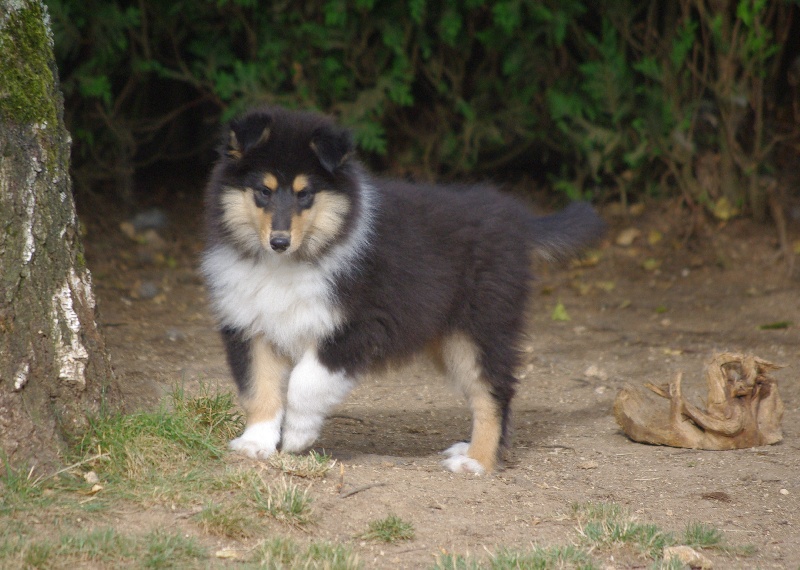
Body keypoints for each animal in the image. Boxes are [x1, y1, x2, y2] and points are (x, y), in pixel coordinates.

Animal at [202, 105, 608, 470]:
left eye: (305, 194)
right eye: (263, 191)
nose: (279, 242)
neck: (293, 263)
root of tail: (518, 220)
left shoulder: (357, 326)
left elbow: (305, 381)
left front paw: (299, 434)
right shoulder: (251, 326)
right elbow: (259, 388)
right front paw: (256, 443)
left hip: (480, 327)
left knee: (494, 392)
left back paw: (477, 461)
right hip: (452, 340)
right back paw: (473, 450)